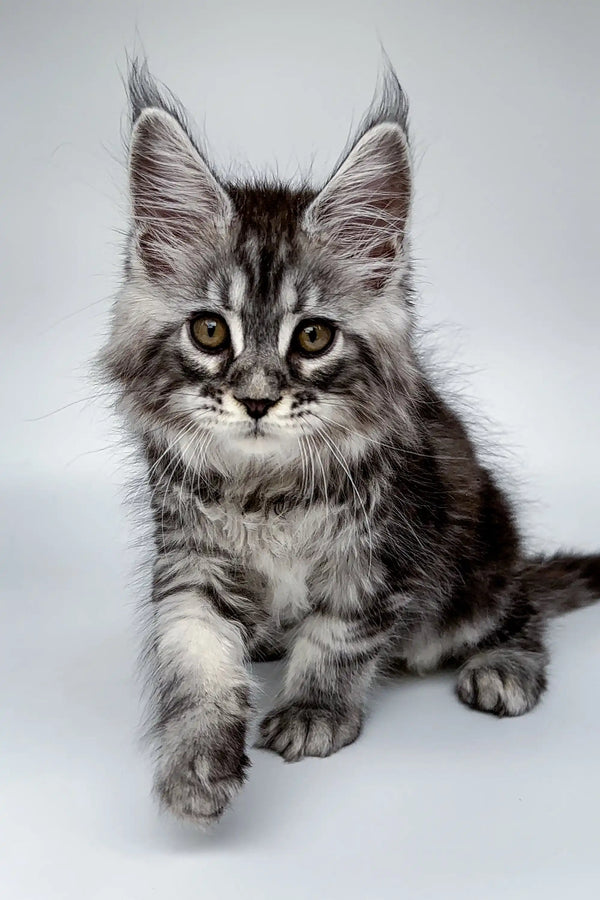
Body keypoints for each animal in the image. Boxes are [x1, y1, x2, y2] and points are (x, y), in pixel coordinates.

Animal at [103, 59, 600, 828]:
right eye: (211, 332)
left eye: (312, 337)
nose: (257, 399)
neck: (265, 490)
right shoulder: (190, 555)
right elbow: (196, 654)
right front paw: (195, 765)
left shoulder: (384, 547)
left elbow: (336, 636)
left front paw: (313, 711)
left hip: (474, 560)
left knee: (517, 609)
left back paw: (503, 666)